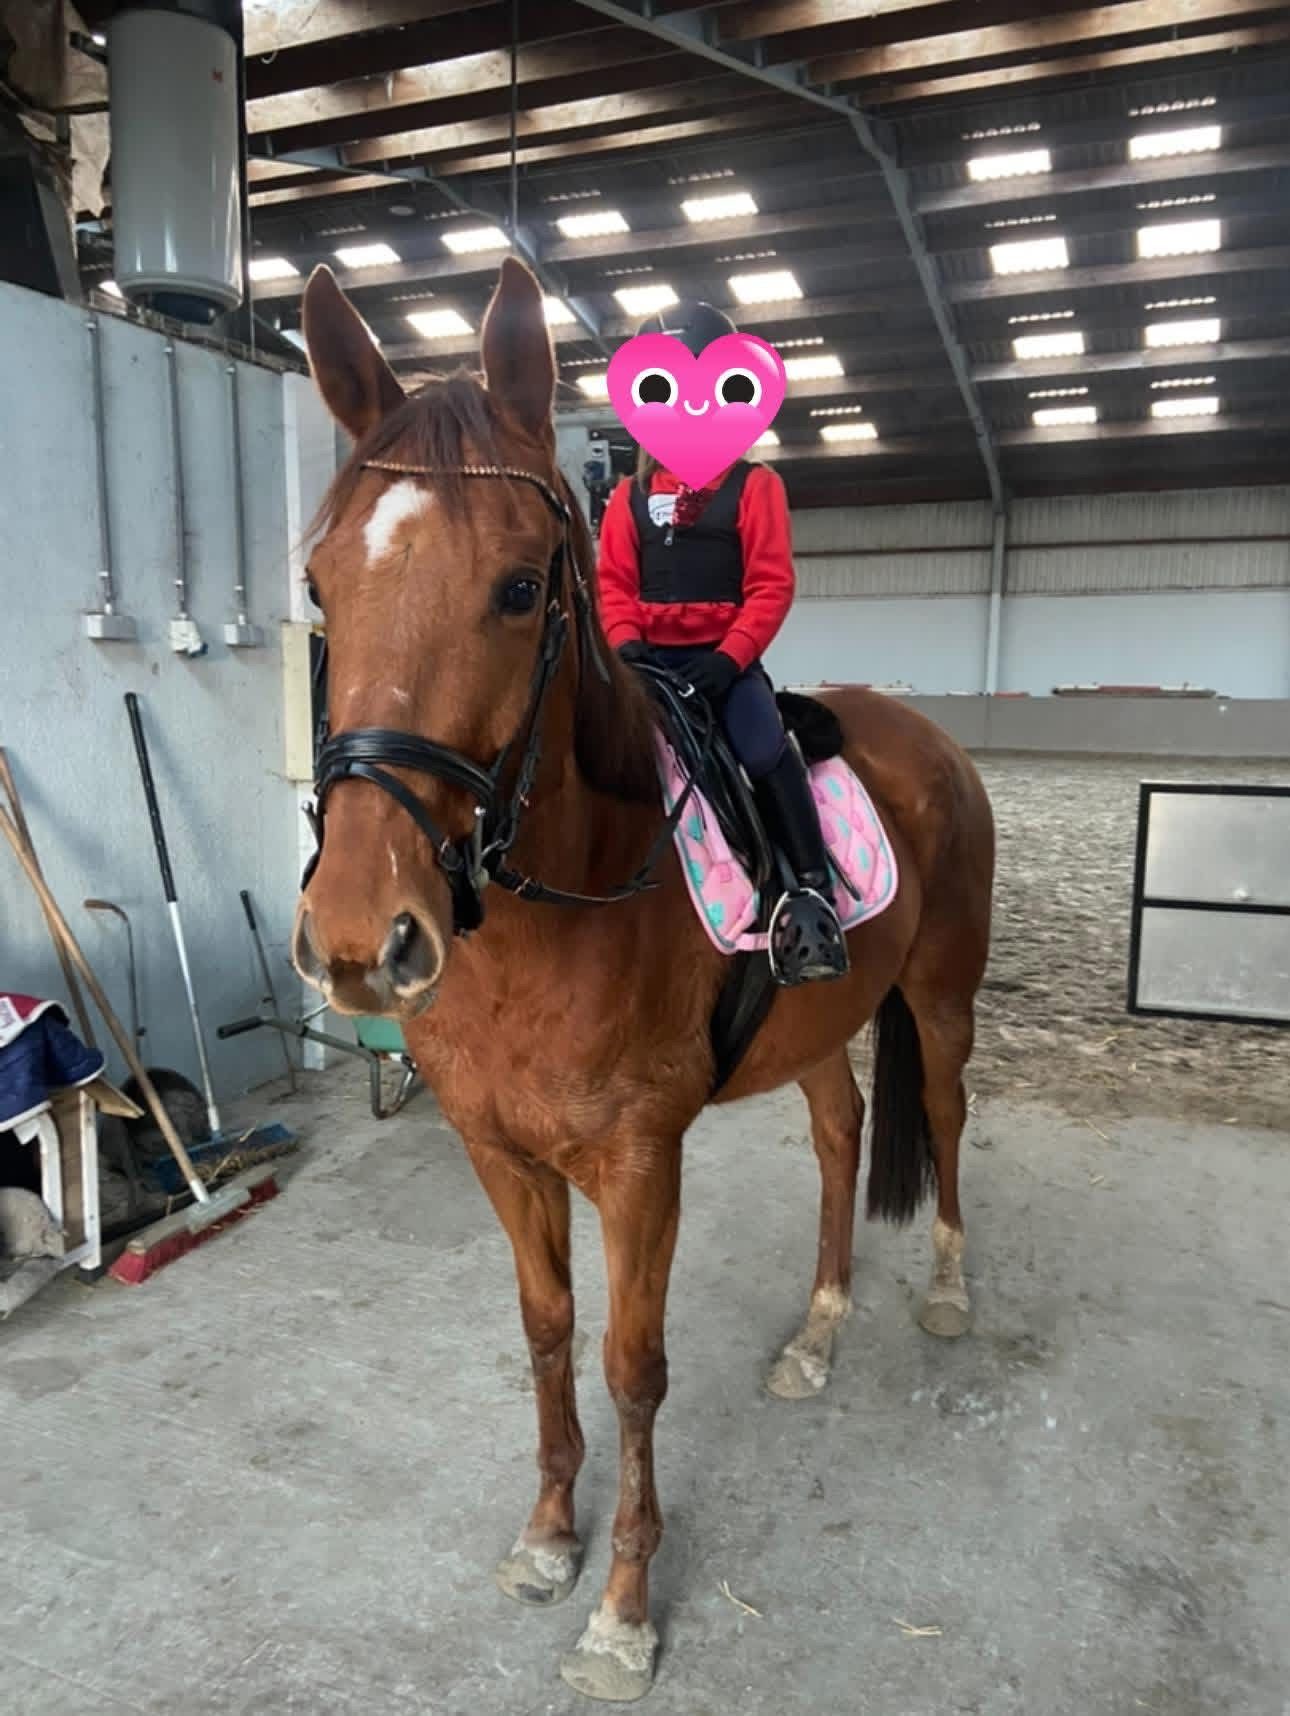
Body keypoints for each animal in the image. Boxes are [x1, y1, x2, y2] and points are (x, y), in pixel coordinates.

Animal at [292, 256, 995, 1703]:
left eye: (520, 590)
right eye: (322, 589)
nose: (359, 936)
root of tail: (926, 737)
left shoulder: (637, 1163)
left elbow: (631, 1366)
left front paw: (621, 1611)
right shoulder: (497, 1152)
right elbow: (547, 1333)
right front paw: (548, 1537)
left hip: (942, 995)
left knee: (944, 1118)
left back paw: (946, 1293)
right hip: (822, 1023)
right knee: (843, 1134)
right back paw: (818, 1331)